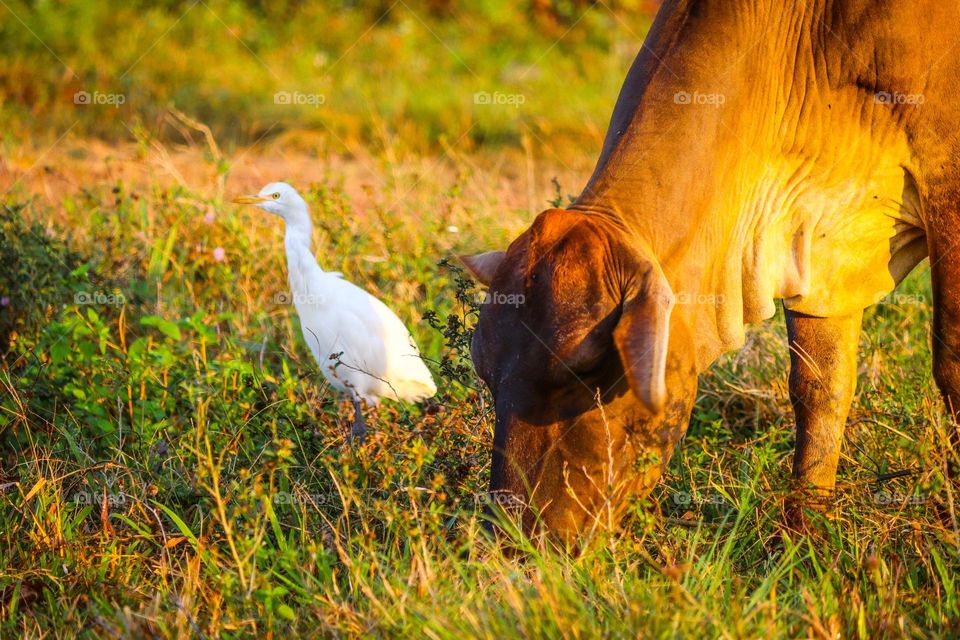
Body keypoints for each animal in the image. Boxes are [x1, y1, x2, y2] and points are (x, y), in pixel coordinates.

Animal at [461, 0, 960, 542]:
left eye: (588, 367)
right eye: (485, 370)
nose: (512, 538)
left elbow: (951, 365)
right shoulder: (816, 246)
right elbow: (819, 386)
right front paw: (803, 532)